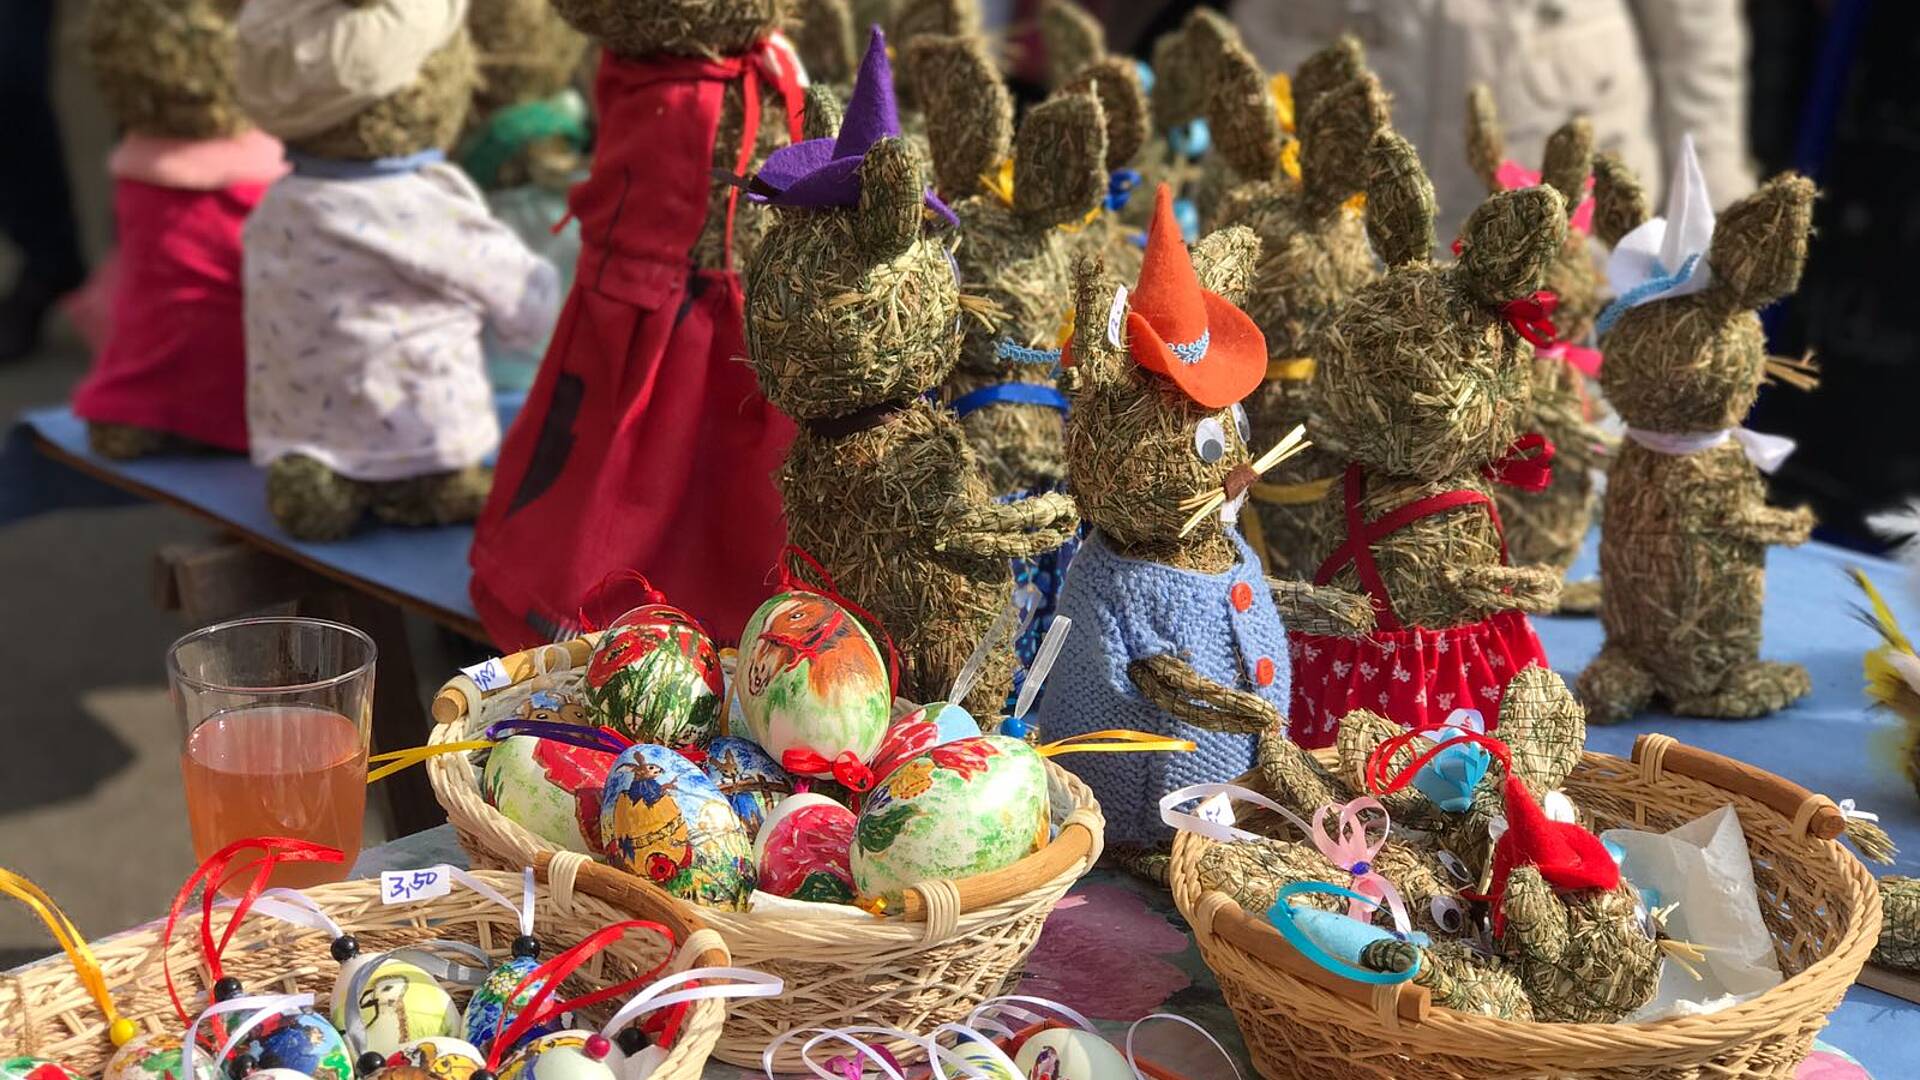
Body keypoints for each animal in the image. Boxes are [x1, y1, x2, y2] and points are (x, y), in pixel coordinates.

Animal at [744, 27, 1082, 714]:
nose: (965, 295)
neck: (854, 419)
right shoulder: (926, 487)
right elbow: (968, 530)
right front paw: (1047, 519)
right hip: (959, 652)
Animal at [1574, 138, 1812, 718]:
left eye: (1702, 344)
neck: (1677, 444)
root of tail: (1674, 692)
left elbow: (1745, 517)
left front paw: (1795, 523)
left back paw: (1764, 683)